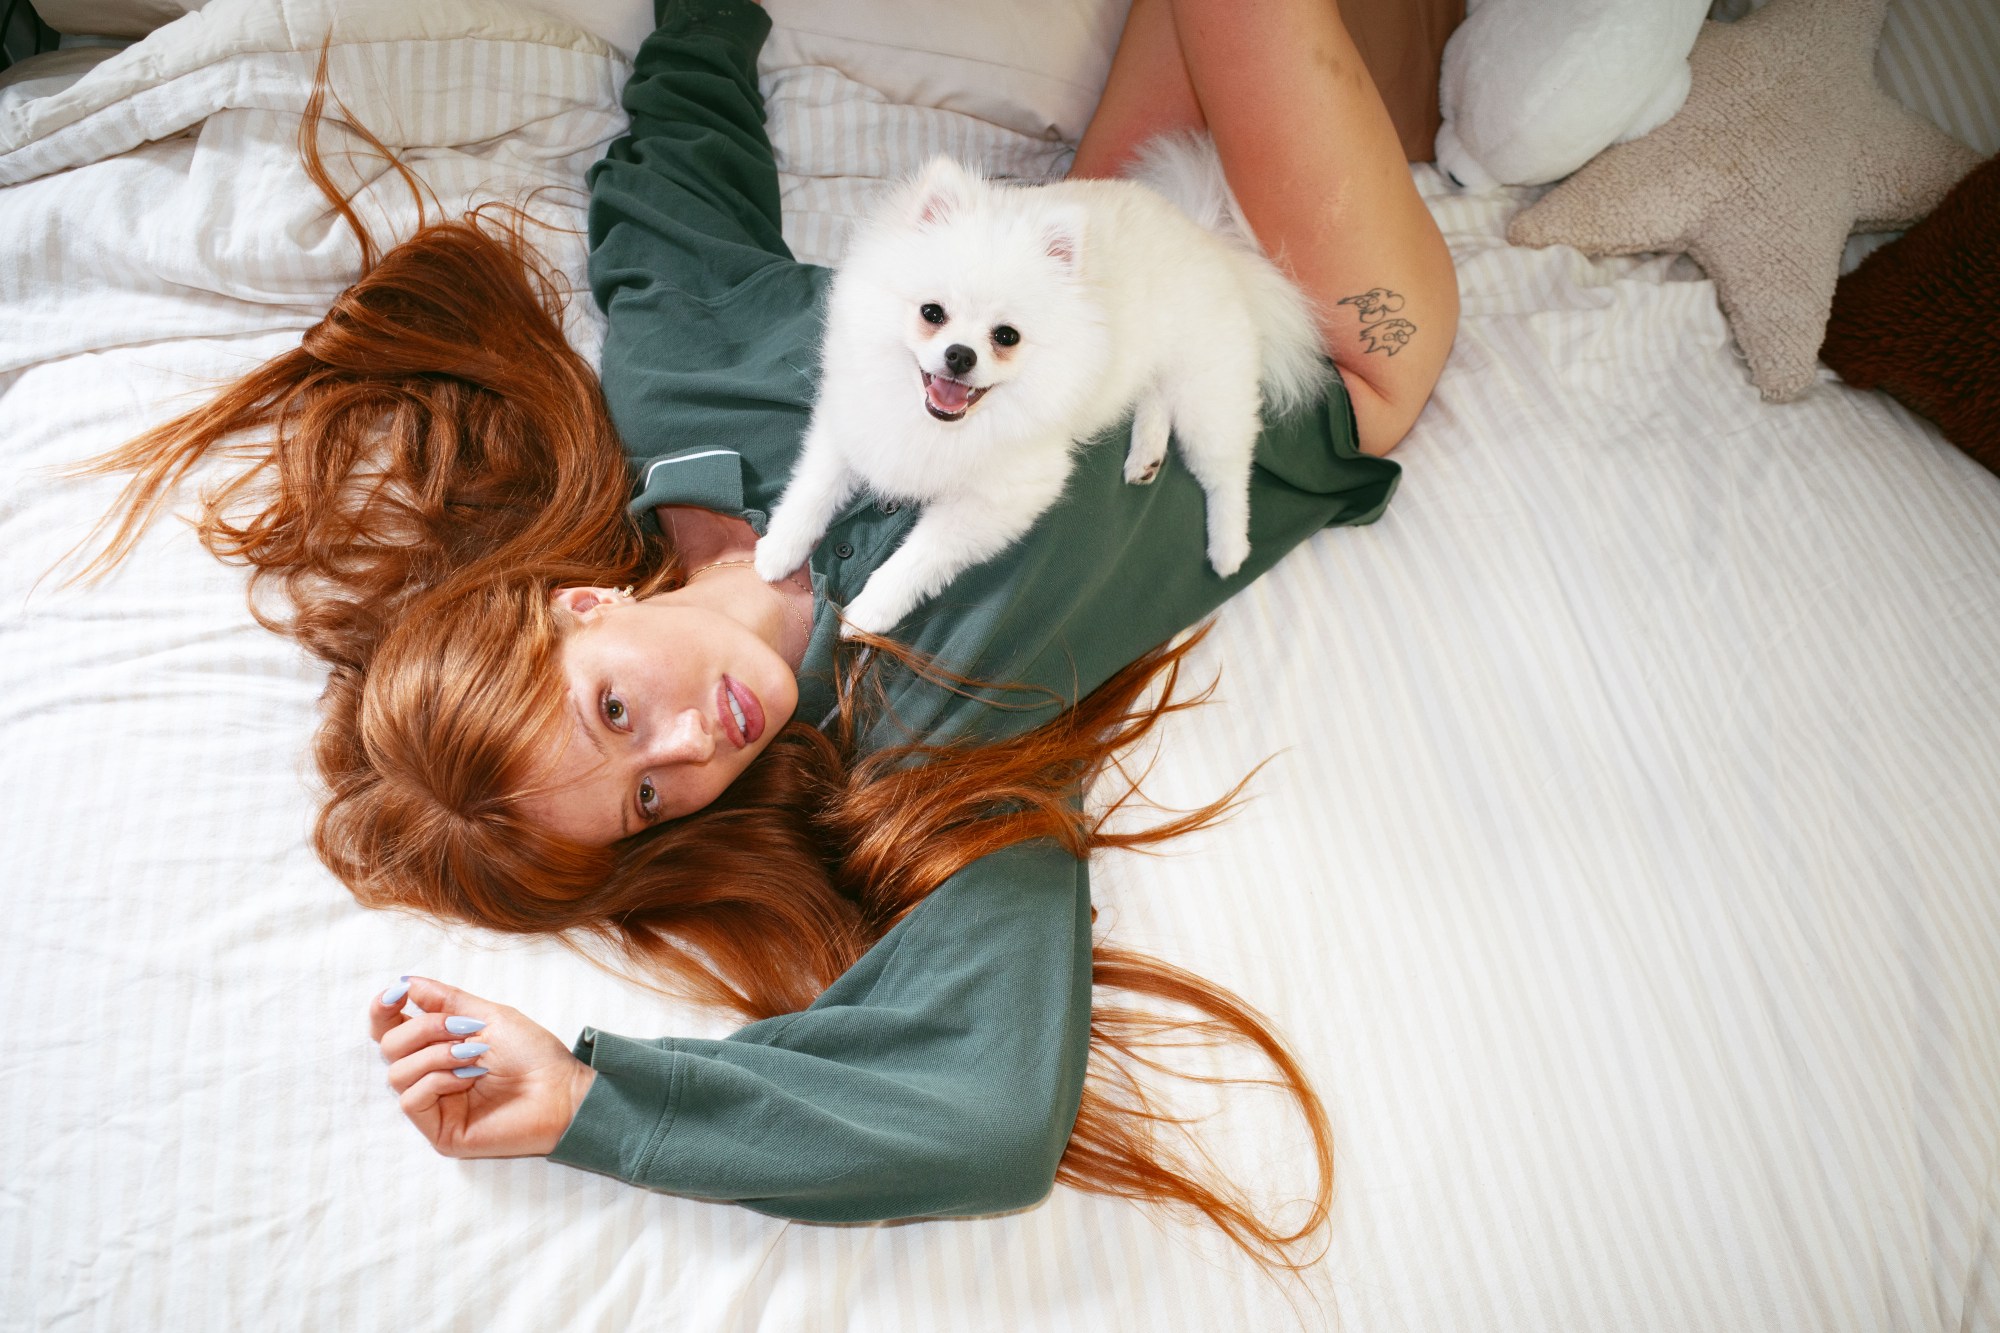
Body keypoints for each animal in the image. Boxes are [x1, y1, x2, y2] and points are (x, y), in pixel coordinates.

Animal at [752, 128, 1328, 632]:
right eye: (932, 313)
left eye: (1006, 336)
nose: (959, 355)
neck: (936, 423)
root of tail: (1209, 237)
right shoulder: (851, 424)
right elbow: (811, 489)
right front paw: (778, 549)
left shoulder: (1004, 498)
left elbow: (921, 555)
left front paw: (872, 610)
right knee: (1152, 396)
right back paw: (1145, 455)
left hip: (1208, 389)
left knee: (1227, 471)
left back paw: (1229, 547)